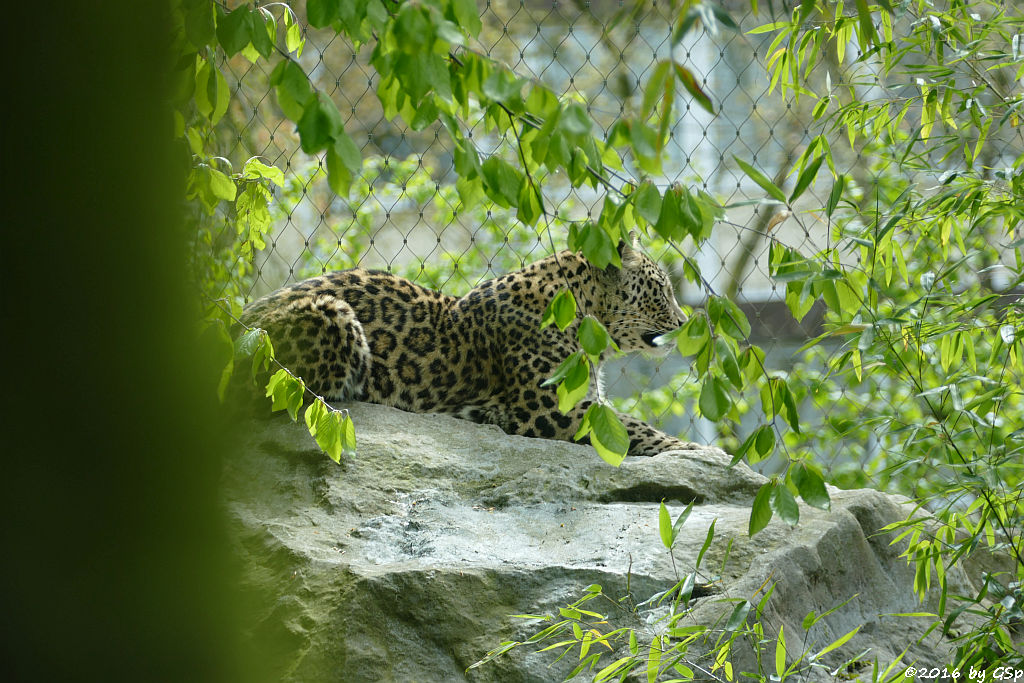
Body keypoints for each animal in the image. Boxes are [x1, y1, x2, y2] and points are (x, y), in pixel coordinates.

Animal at [243, 236, 700, 458]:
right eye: (661, 289)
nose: (683, 322)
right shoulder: (548, 410)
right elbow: (630, 425)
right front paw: (694, 449)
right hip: (331, 313)